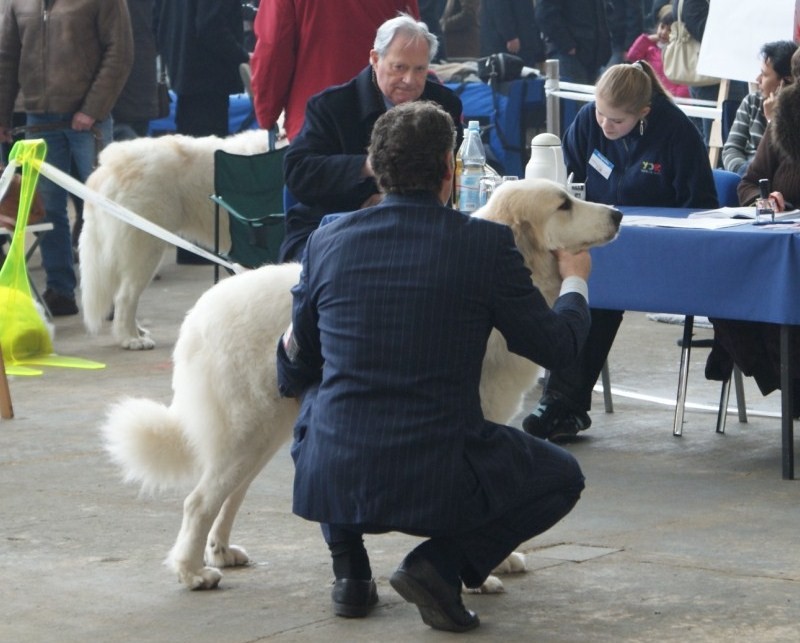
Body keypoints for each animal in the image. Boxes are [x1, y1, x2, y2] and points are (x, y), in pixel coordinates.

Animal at [100, 181, 620, 592]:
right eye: (564, 205)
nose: (617, 213)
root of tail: (200, 314)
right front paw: (480, 574)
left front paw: (499, 559)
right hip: (245, 432)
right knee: (199, 500)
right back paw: (192, 573)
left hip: (262, 435)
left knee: (228, 495)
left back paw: (221, 552)